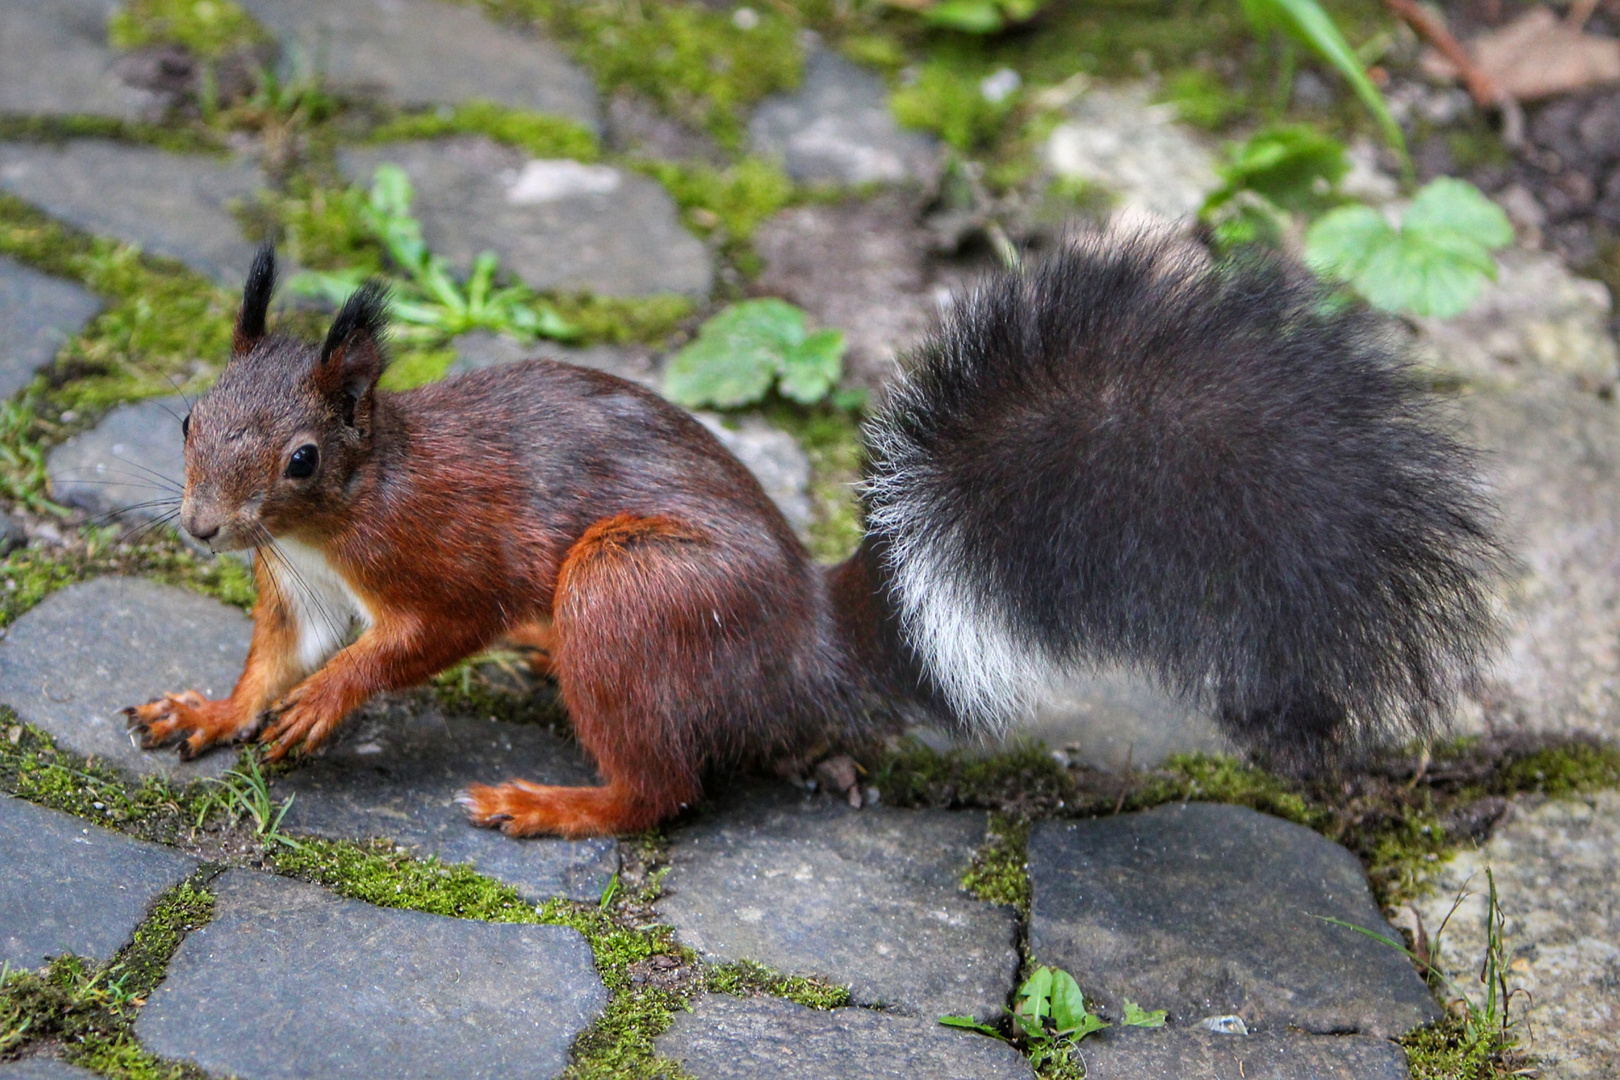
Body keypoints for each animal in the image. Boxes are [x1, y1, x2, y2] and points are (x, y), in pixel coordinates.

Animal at [126, 229, 1503, 835]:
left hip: (628, 592)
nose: (200, 528)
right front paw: (212, 709)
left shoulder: (444, 553)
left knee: (665, 790)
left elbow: (417, 635)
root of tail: (807, 648)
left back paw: (558, 803)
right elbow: (273, 655)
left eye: (303, 458)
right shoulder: (298, 584)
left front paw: (330, 700)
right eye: (189, 412)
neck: (343, 516)